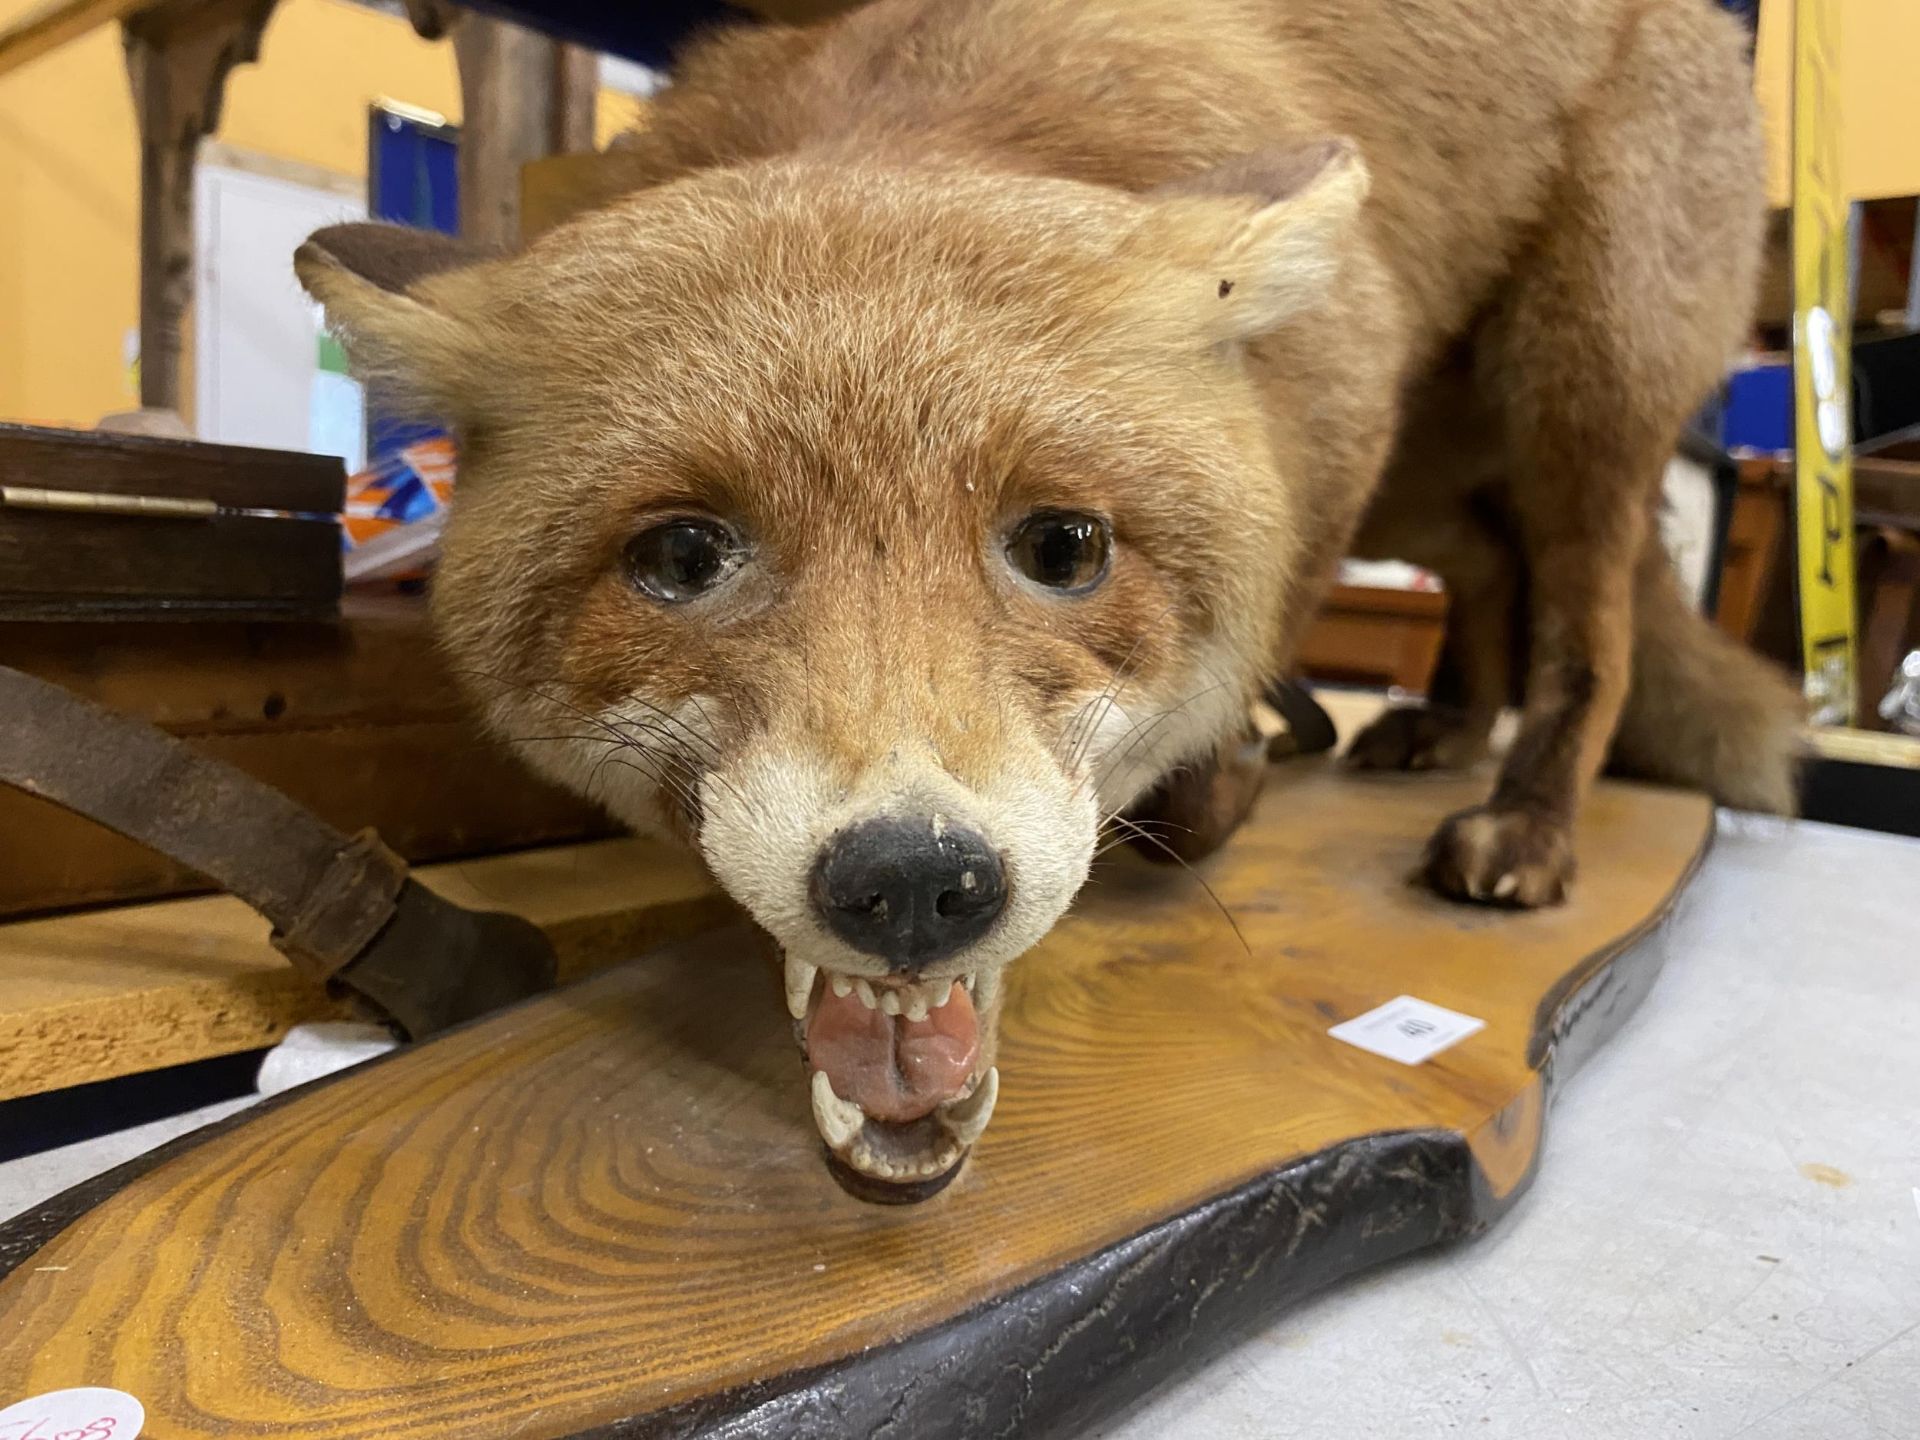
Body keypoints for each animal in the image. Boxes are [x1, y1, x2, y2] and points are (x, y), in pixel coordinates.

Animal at [291, 0, 1789, 1198]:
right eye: (683, 557)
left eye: (1064, 548)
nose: (910, 882)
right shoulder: (1342, 437)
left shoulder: (1340, 417)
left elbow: (1219, 738)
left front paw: (1227, 776)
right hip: (1428, 469)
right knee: (1486, 565)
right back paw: (1439, 726)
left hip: (1575, 393)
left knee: (1588, 624)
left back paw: (1528, 816)